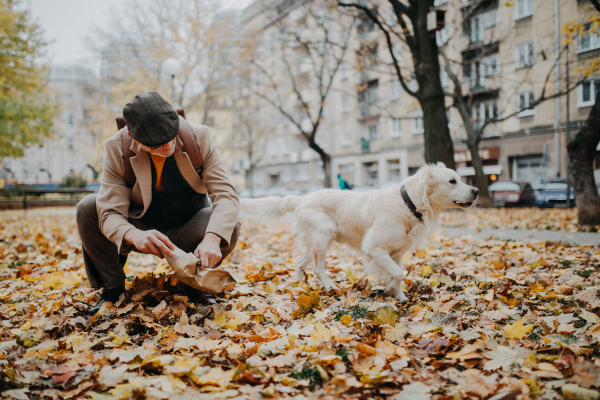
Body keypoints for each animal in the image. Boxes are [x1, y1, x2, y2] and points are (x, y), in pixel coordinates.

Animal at [239, 162, 478, 300]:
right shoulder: (374, 248)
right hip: (324, 235)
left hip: (315, 241)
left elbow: (399, 273)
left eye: (459, 178)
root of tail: (303, 197)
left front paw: (399, 297)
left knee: (300, 264)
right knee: (317, 269)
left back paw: (300, 285)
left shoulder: (397, 253)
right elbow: (399, 273)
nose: (476, 190)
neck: (407, 203)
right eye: (452, 181)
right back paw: (330, 287)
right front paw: (390, 290)